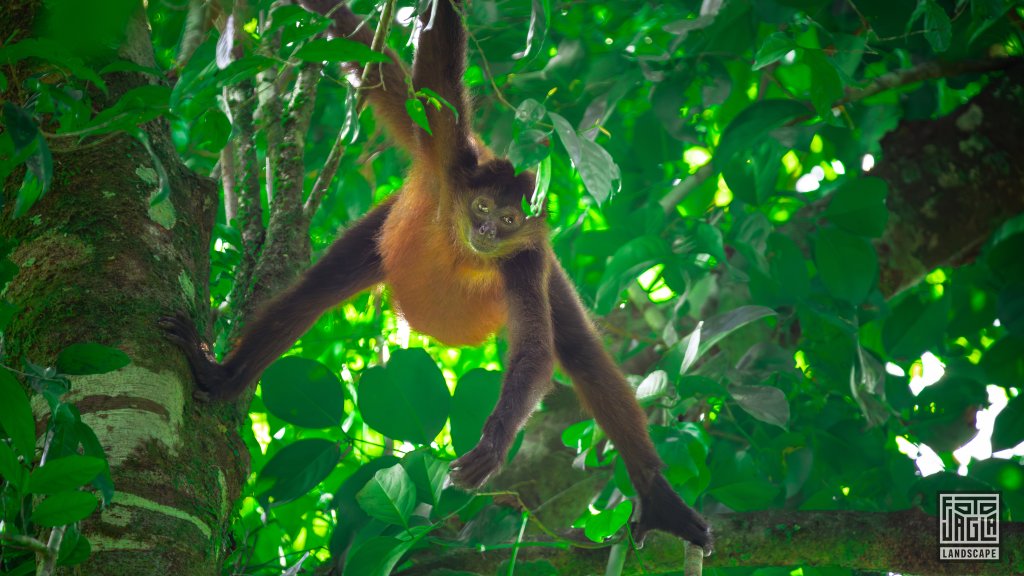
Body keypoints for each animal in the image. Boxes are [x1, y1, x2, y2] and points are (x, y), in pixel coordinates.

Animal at [161, 0, 712, 550]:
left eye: (508, 220)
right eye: (483, 207)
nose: (486, 230)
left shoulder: (528, 258)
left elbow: (537, 351)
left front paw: (494, 442)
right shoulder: (449, 159)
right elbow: (433, 75)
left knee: (583, 355)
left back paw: (657, 496)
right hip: (385, 236)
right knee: (313, 294)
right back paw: (224, 376)